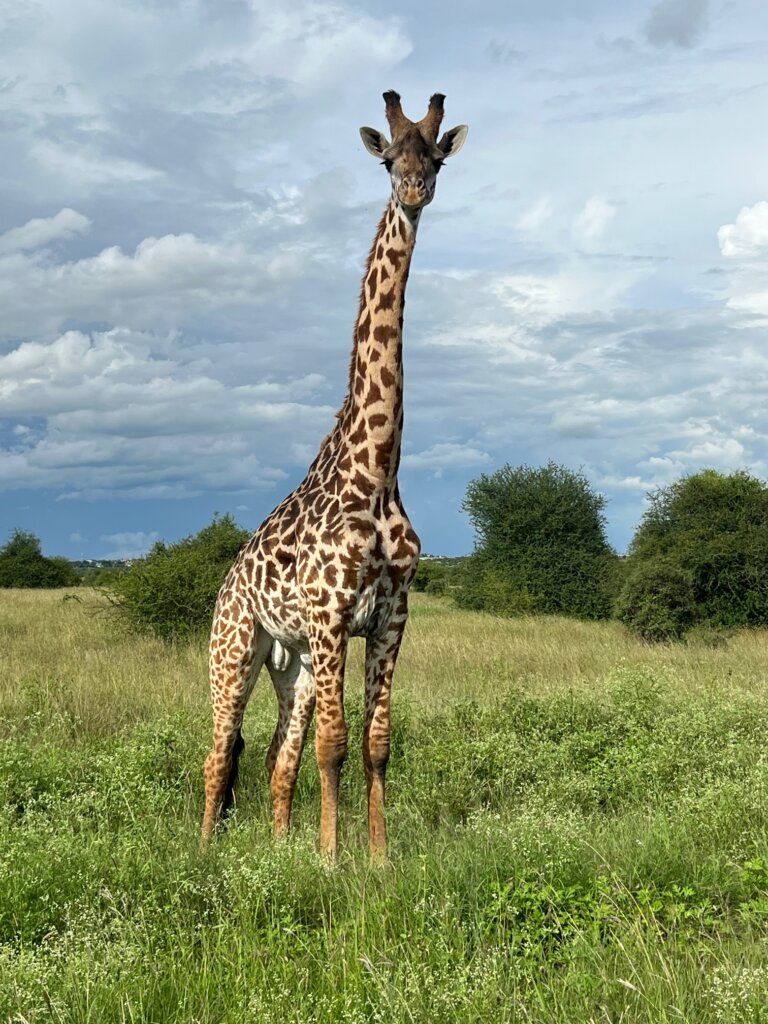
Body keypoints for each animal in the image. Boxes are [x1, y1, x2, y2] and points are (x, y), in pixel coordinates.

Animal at [202, 88, 468, 860]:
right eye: (388, 158)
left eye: (436, 155)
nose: (414, 189)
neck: (376, 472)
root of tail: (225, 582)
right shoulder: (330, 616)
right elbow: (336, 745)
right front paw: (329, 859)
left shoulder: (392, 614)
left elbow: (375, 744)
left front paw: (373, 857)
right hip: (235, 649)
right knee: (219, 751)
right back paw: (203, 851)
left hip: (289, 662)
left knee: (273, 754)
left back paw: (277, 844)